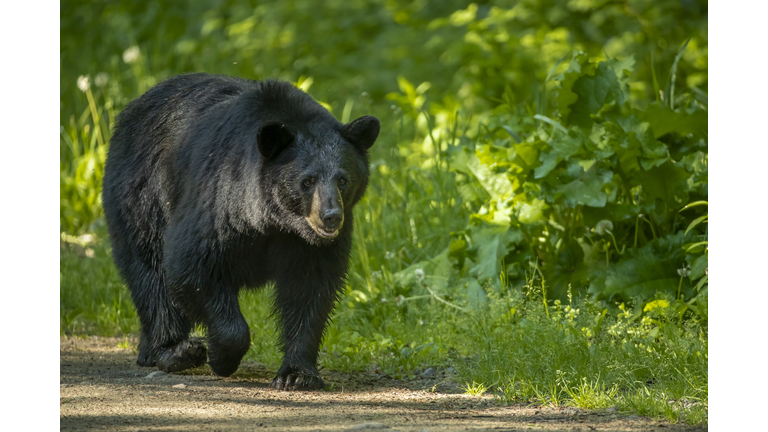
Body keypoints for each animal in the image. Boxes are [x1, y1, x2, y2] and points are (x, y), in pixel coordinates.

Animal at [102, 72, 378, 390]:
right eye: (307, 181)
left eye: (343, 180)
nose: (331, 217)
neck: (274, 221)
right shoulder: (220, 200)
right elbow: (191, 264)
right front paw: (221, 357)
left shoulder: (307, 245)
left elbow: (310, 287)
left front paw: (297, 374)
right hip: (141, 194)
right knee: (151, 272)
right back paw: (175, 351)